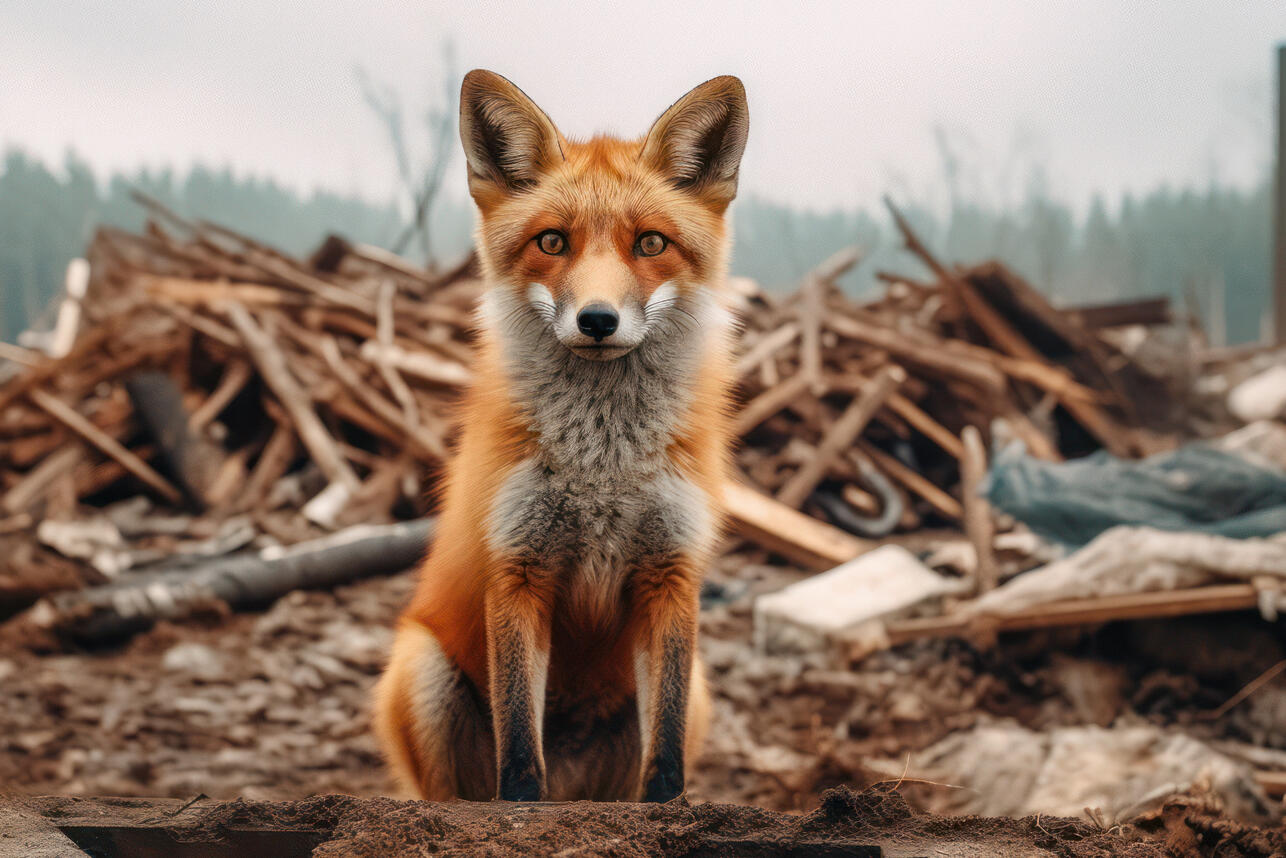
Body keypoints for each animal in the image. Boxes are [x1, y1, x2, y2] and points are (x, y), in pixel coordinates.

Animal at [372, 68, 751, 807]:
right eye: (552, 242)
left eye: (650, 243)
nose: (597, 320)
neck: (603, 463)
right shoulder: (519, 569)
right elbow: (520, 742)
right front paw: (522, 807)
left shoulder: (670, 573)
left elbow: (663, 753)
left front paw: (668, 808)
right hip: (422, 671)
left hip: (698, 692)